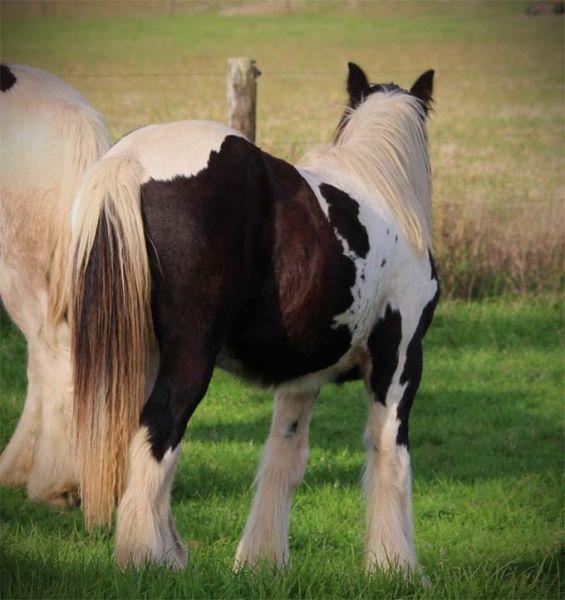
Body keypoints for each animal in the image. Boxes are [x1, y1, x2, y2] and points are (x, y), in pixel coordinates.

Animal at [68, 63, 438, 576]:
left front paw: (262, 561)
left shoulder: (303, 378)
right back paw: (148, 557)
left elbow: (285, 458)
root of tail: (130, 161)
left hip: (135, 354)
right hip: (190, 355)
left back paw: (170, 554)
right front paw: (396, 567)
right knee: (162, 428)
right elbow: (391, 454)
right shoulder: (400, 361)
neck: (384, 193)